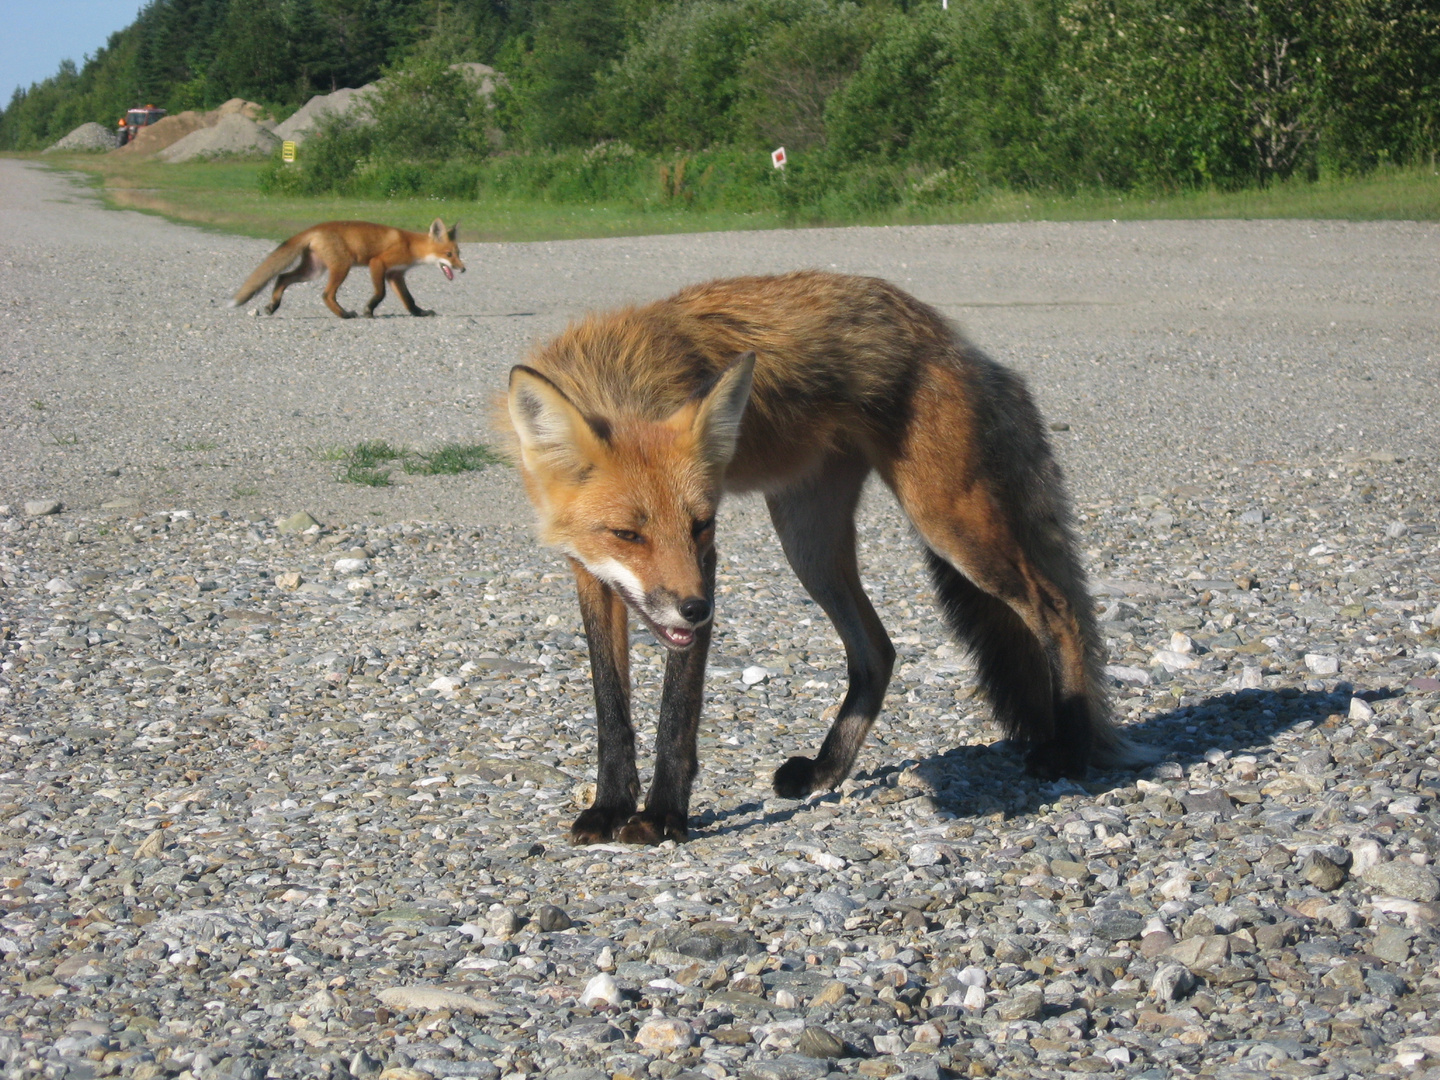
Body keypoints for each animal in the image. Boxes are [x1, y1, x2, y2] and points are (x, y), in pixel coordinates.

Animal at [230, 217, 463, 319]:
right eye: (449, 254)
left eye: (459, 253)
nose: (463, 269)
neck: (410, 245)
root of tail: (315, 228)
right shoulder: (378, 263)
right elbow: (380, 293)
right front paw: (369, 310)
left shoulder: (396, 274)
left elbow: (409, 300)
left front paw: (420, 313)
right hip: (342, 267)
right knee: (326, 295)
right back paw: (344, 314)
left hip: (313, 271)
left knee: (282, 277)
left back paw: (273, 306)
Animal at [509, 269, 1157, 846]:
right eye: (626, 534)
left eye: (701, 525)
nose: (696, 610)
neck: (618, 374)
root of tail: (949, 336)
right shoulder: (586, 570)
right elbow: (610, 708)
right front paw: (610, 807)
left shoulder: (707, 565)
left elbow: (678, 710)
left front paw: (664, 815)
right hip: (809, 542)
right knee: (878, 651)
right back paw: (827, 770)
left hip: (949, 524)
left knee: (1058, 609)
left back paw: (1069, 748)